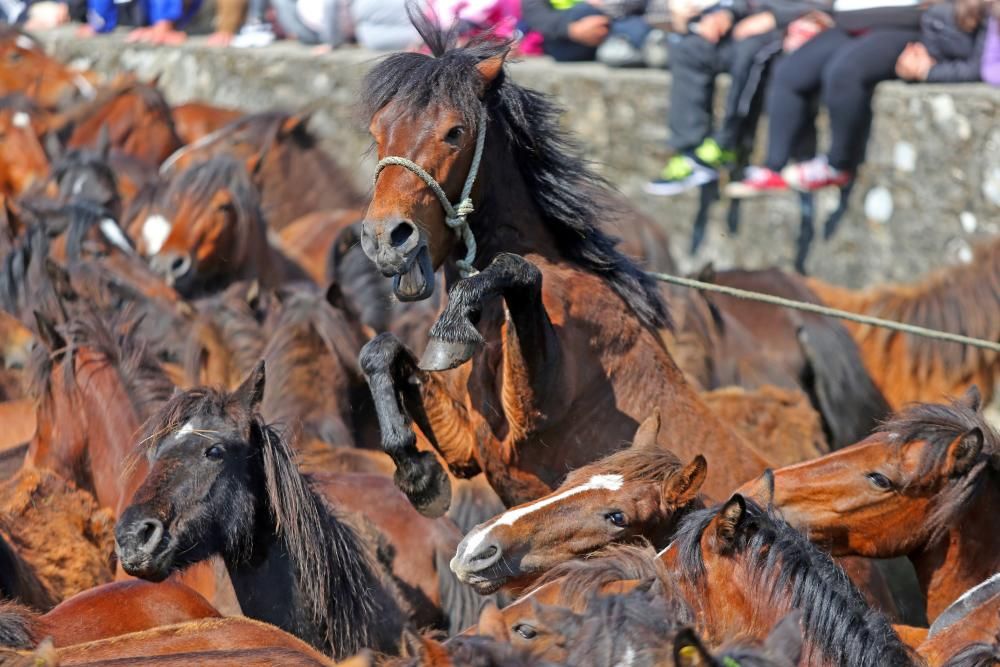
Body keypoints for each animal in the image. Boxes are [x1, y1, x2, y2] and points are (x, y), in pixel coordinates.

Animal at [356, 17, 768, 516]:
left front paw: (451, 331)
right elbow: (381, 351)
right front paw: (417, 472)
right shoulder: (467, 446)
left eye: (454, 131)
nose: (386, 238)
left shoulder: (538, 411)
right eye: (378, 132)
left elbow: (517, 271)